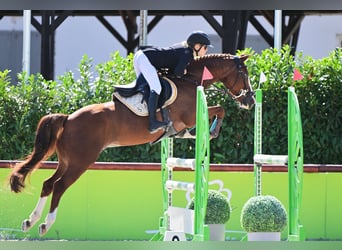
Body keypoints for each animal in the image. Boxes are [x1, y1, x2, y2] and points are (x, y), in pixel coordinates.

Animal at [8, 53, 254, 236]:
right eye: (245, 74)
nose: (250, 101)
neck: (191, 80)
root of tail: (68, 119)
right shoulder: (190, 116)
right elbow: (220, 108)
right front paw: (212, 131)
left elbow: (206, 119)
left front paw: (202, 133)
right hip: (81, 162)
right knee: (59, 186)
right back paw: (45, 224)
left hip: (67, 161)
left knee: (48, 183)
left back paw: (30, 221)